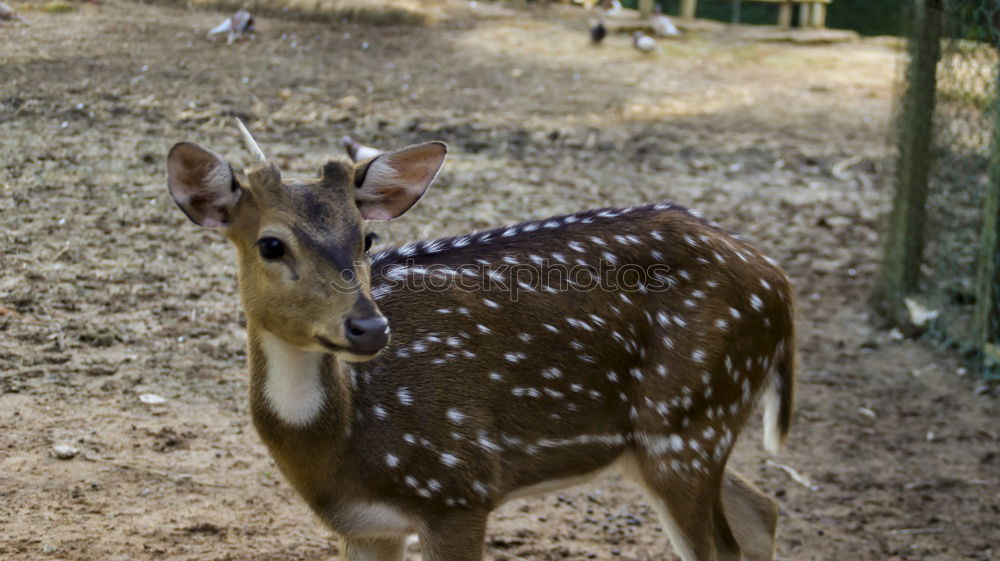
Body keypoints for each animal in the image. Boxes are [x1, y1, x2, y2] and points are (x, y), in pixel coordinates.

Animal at [168, 121, 800, 560]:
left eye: (367, 237)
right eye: (271, 244)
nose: (369, 326)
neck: (343, 450)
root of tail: (780, 283)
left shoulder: (459, 488)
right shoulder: (364, 525)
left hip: (690, 422)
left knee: (727, 542)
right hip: (671, 437)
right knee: (762, 510)